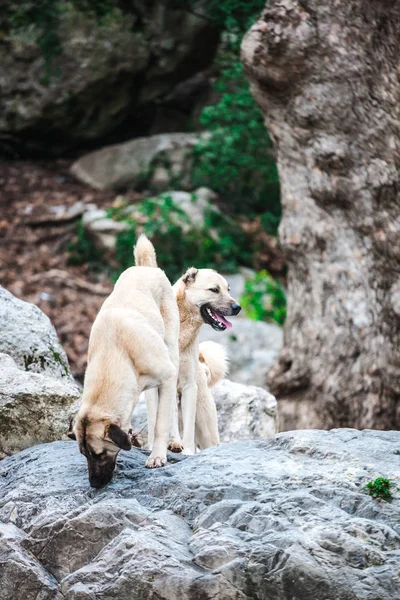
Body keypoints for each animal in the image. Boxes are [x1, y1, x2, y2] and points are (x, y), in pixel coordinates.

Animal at [69, 234, 179, 488]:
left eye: (99, 454)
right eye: (83, 455)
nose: (93, 484)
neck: (115, 355)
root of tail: (145, 268)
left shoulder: (168, 377)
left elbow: (161, 424)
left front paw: (157, 456)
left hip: (172, 348)